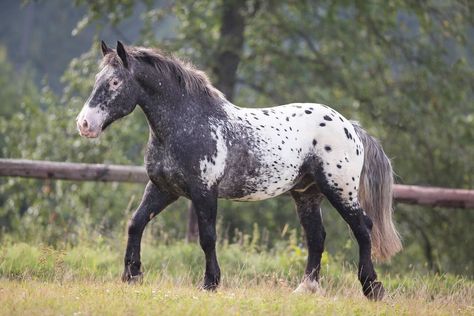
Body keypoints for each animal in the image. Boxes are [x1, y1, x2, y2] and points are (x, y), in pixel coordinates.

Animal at [77, 40, 400, 300]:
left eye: (115, 82)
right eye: (97, 79)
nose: (84, 124)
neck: (187, 125)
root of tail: (351, 127)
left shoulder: (203, 192)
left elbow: (207, 237)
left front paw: (210, 284)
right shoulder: (163, 189)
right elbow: (136, 223)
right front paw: (131, 276)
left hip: (339, 189)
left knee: (363, 228)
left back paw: (373, 289)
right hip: (307, 193)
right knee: (317, 237)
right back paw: (305, 289)